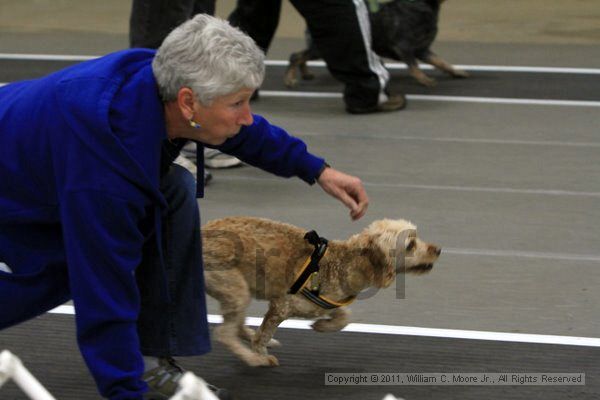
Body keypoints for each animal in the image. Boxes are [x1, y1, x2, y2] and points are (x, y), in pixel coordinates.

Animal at [203, 217, 440, 368]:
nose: (438, 249)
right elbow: (263, 335)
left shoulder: (326, 303)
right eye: (410, 245)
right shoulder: (281, 307)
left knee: (237, 325)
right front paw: (260, 353)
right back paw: (253, 358)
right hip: (236, 290)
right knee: (224, 333)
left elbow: (344, 317)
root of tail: (202, 233)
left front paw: (322, 326)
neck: (344, 263)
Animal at [284, 0, 468, 88]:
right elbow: (414, 67)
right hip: (321, 49)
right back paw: (290, 80)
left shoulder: (423, 50)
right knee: (295, 56)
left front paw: (458, 72)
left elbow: (442, 62)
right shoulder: (404, 48)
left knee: (301, 56)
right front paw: (425, 80)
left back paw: (306, 73)